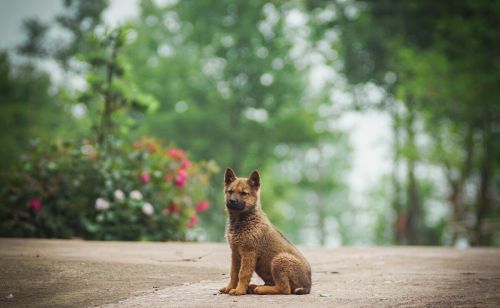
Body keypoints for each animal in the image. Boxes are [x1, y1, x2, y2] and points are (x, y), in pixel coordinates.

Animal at [220, 168, 310, 296]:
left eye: (244, 193)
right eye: (230, 191)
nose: (231, 201)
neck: (243, 220)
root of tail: (308, 286)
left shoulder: (248, 253)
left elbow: (243, 274)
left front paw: (239, 290)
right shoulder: (235, 253)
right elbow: (233, 273)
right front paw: (230, 288)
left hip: (280, 260)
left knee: (285, 289)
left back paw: (260, 289)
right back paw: (253, 287)